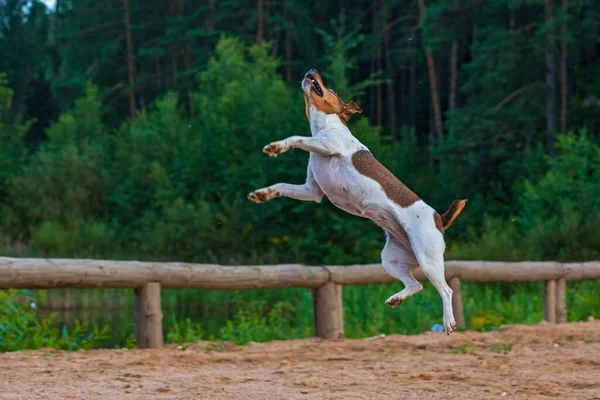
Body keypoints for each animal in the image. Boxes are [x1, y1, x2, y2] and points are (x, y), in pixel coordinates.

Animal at [246, 69, 466, 334]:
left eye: (331, 89)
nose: (311, 71)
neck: (323, 126)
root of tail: (439, 219)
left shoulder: (328, 144)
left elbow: (296, 137)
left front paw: (277, 146)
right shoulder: (312, 191)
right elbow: (281, 187)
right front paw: (262, 194)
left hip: (428, 258)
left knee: (446, 290)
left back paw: (448, 321)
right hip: (391, 260)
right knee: (417, 285)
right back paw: (396, 299)